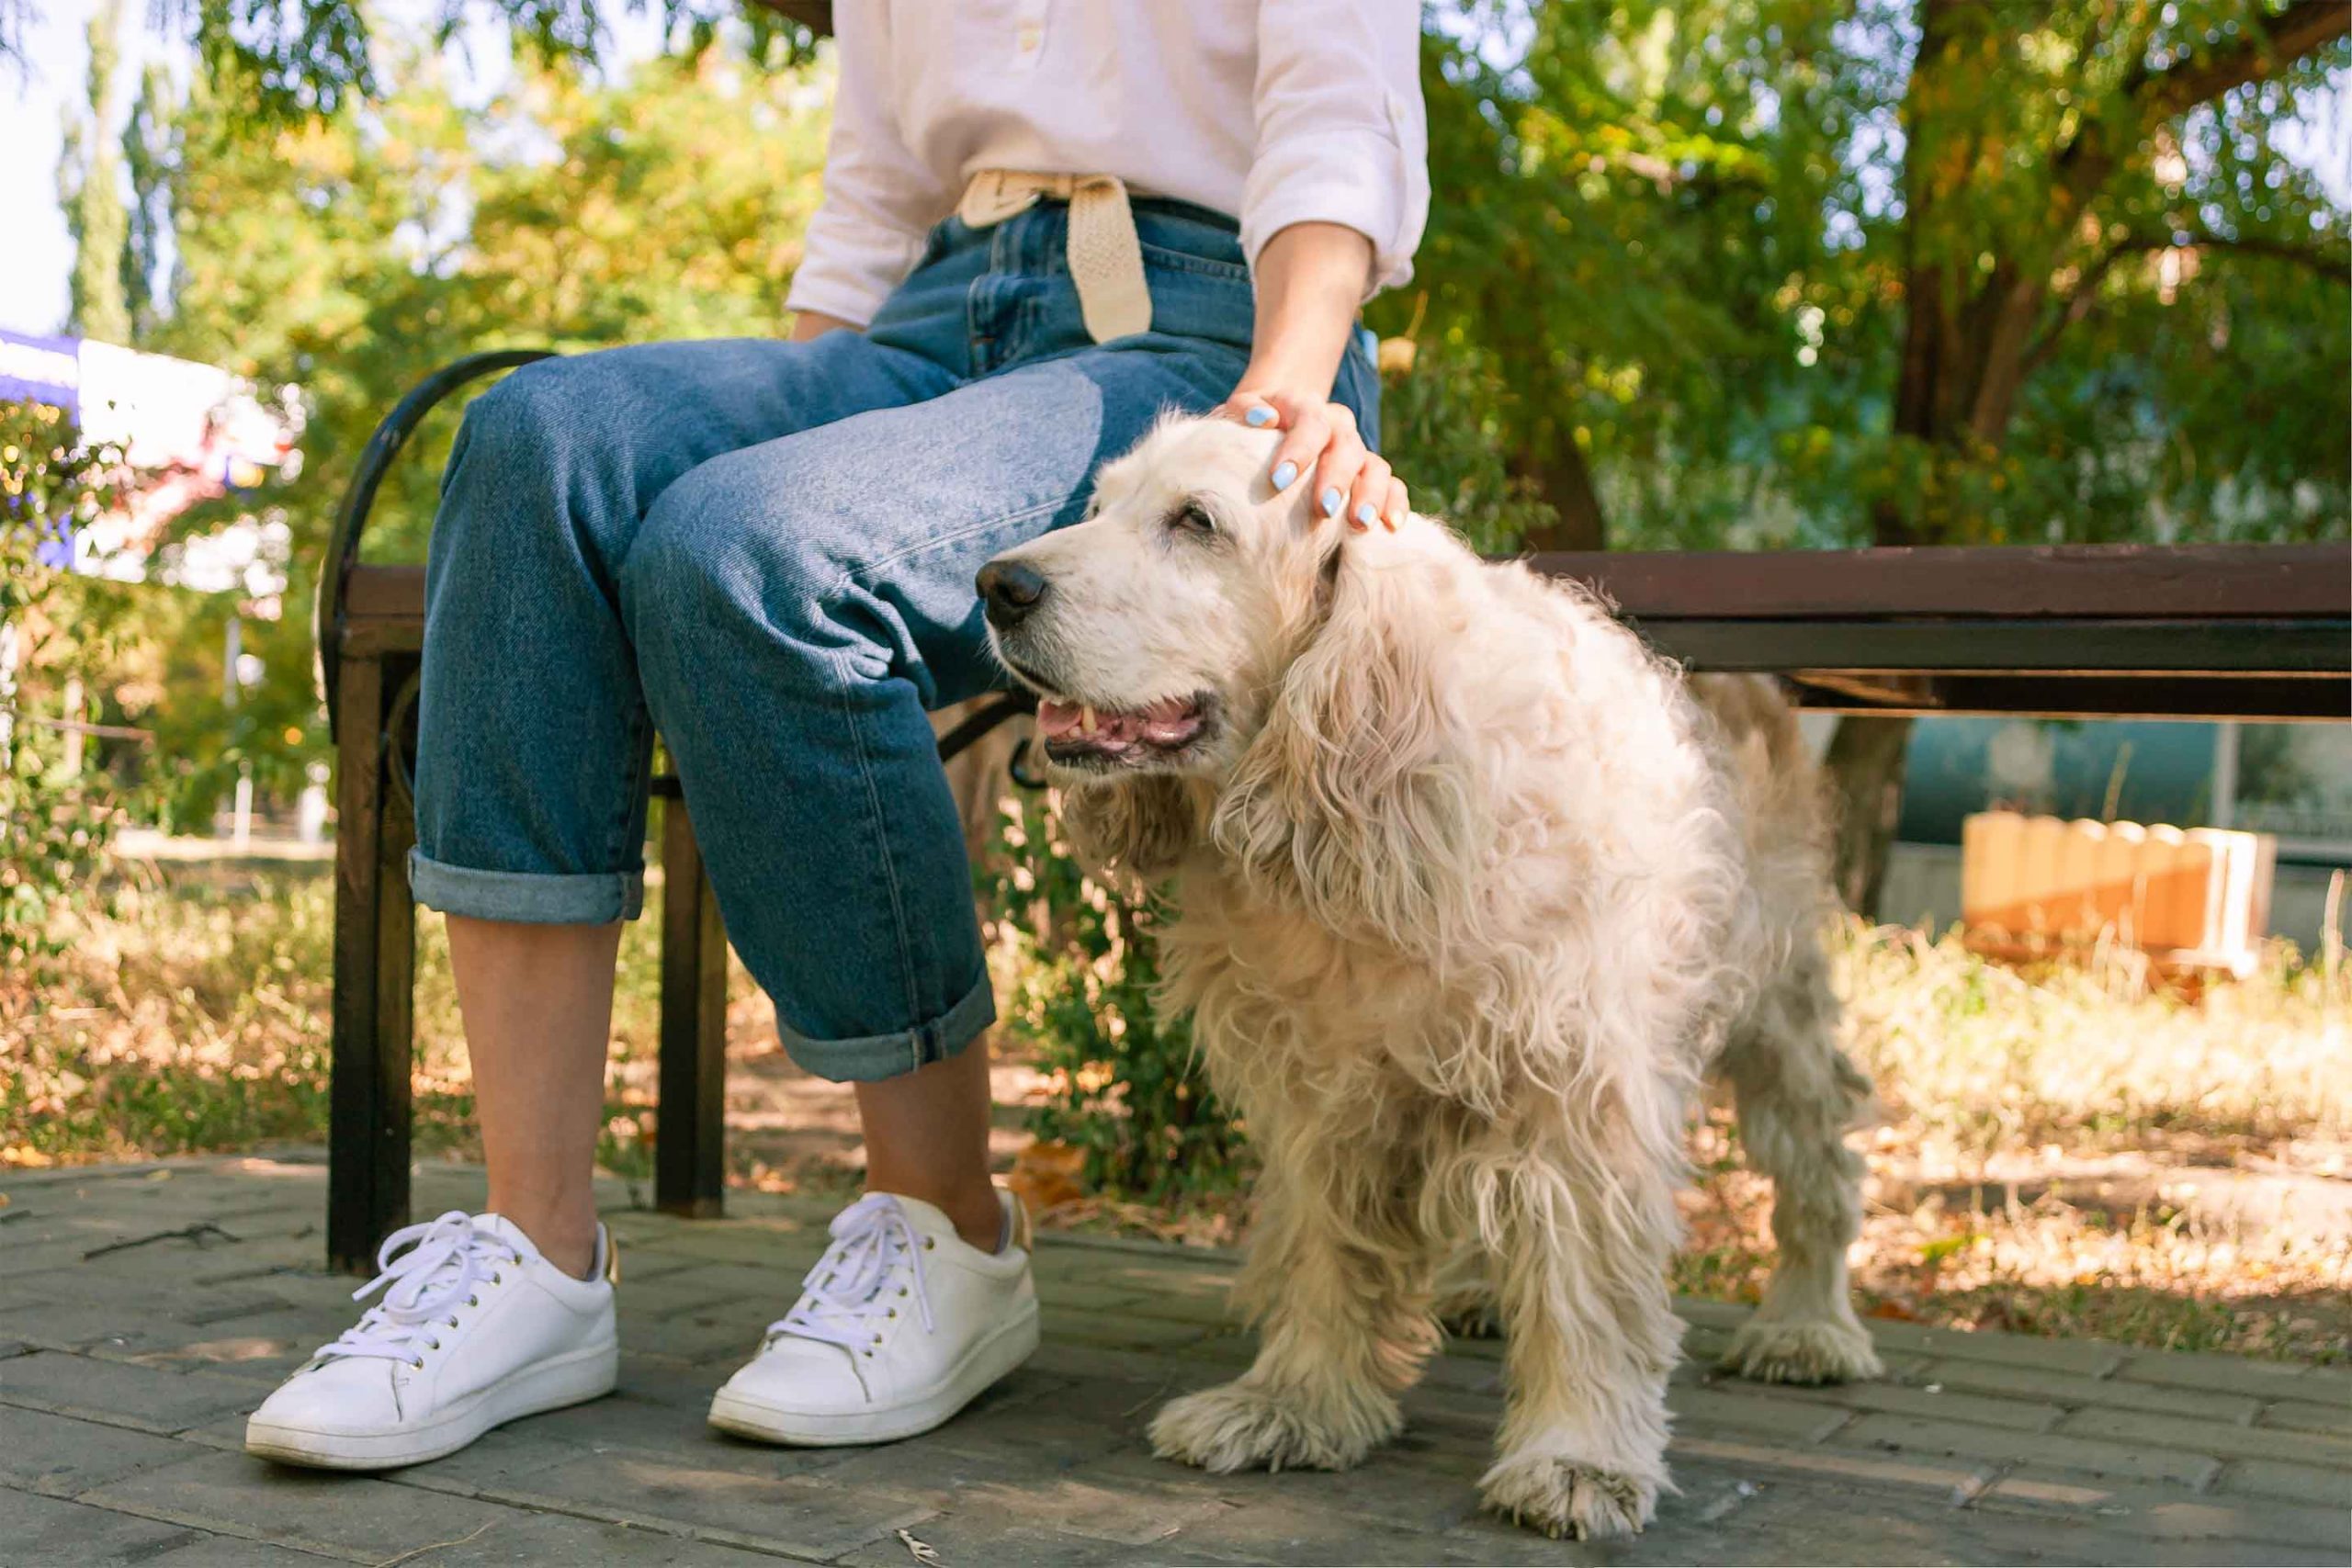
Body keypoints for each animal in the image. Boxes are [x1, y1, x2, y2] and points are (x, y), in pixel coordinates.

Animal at [968, 411, 1871, 1541]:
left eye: (1195, 523)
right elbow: (1328, 1252)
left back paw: (1808, 1326)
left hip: (1774, 1004)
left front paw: (1577, 1455)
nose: (997, 585)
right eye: (1099, 506)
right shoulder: (1331, 1094)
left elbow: (1584, 1278)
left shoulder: (1578, 1087)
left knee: (1815, 1160)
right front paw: (1296, 1404)